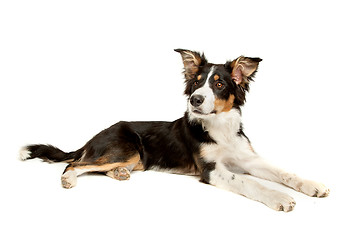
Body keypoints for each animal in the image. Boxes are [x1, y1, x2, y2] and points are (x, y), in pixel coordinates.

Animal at [19, 49, 330, 212]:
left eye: (219, 84)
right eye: (197, 82)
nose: (195, 100)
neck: (219, 128)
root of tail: (92, 137)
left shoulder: (248, 158)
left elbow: (283, 173)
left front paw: (313, 186)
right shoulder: (211, 170)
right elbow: (249, 182)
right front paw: (279, 197)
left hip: (134, 158)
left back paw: (118, 174)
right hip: (126, 148)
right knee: (74, 163)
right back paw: (69, 179)